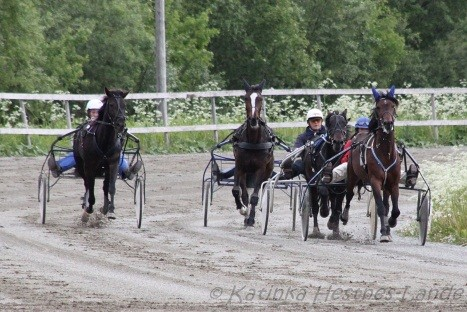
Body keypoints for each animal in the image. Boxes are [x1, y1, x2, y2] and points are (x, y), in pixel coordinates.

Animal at [73, 88, 129, 222]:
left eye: (124, 105)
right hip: (80, 164)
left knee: (105, 186)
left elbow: (111, 187)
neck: (104, 141)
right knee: (87, 184)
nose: (121, 124)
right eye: (112, 104)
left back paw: (105, 207)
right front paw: (89, 209)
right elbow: (91, 186)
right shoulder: (89, 166)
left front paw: (110, 210)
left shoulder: (113, 163)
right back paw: (87, 207)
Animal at [232, 79, 276, 227]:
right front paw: (242, 209)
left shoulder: (261, 169)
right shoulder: (240, 166)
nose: (253, 119)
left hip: (268, 171)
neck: (253, 141)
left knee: (260, 191)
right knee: (244, 193)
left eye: (260, 98)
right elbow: (237, 191)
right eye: (246, 98)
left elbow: (255, 197)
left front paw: (251, 218)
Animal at [304, 109, 348, 239]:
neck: (333, 156)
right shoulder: (319, 180)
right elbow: (323, 191)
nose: (338, 142)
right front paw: (324, 211)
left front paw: (334, 227)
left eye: (344, 124)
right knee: (314, 206)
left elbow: (337, 208)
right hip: (311, 183)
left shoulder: (341, 185)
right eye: (330, 124)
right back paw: (316, 231)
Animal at [344, 86, 402, 243]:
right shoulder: (375, 180)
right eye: (378, 107)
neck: (386, 154)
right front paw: (383, 233)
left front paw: (391, 223)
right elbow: (380, 207)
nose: (388, 123)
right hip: (352, 175)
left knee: (387, 203)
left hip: (386, 186)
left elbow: (394, 209)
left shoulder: (393, 182)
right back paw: (344, 216)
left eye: (393, 106)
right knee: (349, 194)